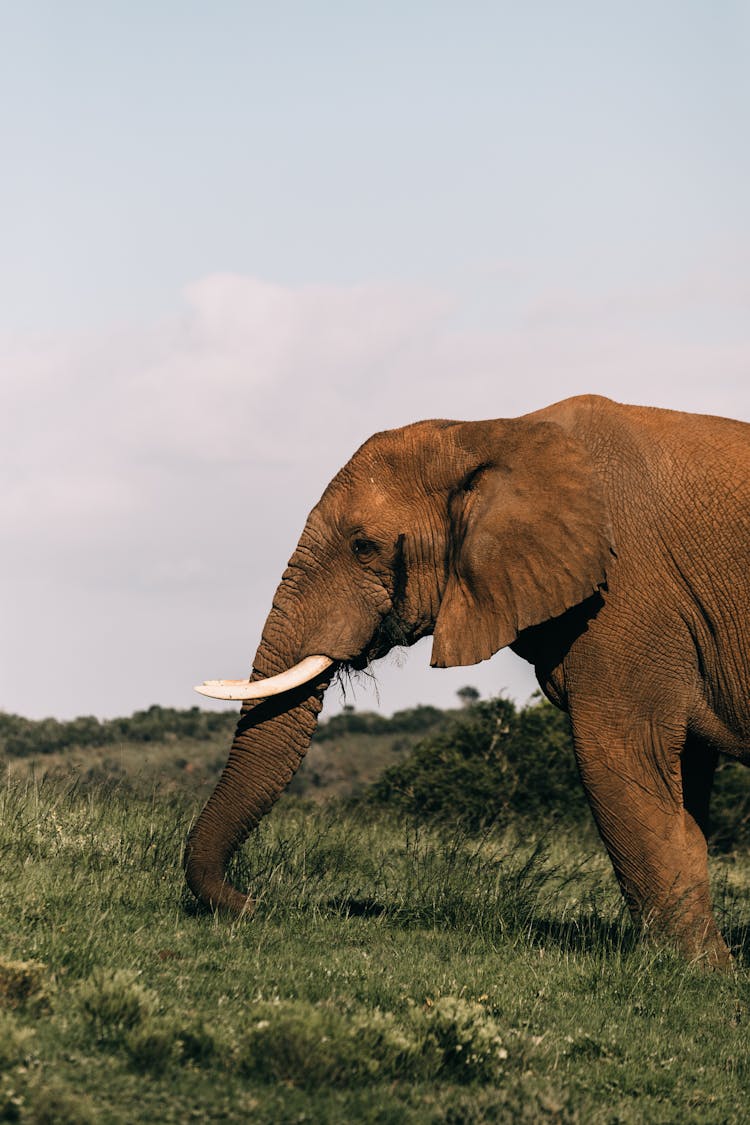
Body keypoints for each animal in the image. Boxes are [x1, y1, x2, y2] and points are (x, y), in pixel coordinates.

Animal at [186, 396, 750, 967]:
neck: (488, 433)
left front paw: (697, 971)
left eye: (363, 547)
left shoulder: (629, 595)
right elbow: (683, 778)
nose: (251, 902)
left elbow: (623, 753)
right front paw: (706, 967)